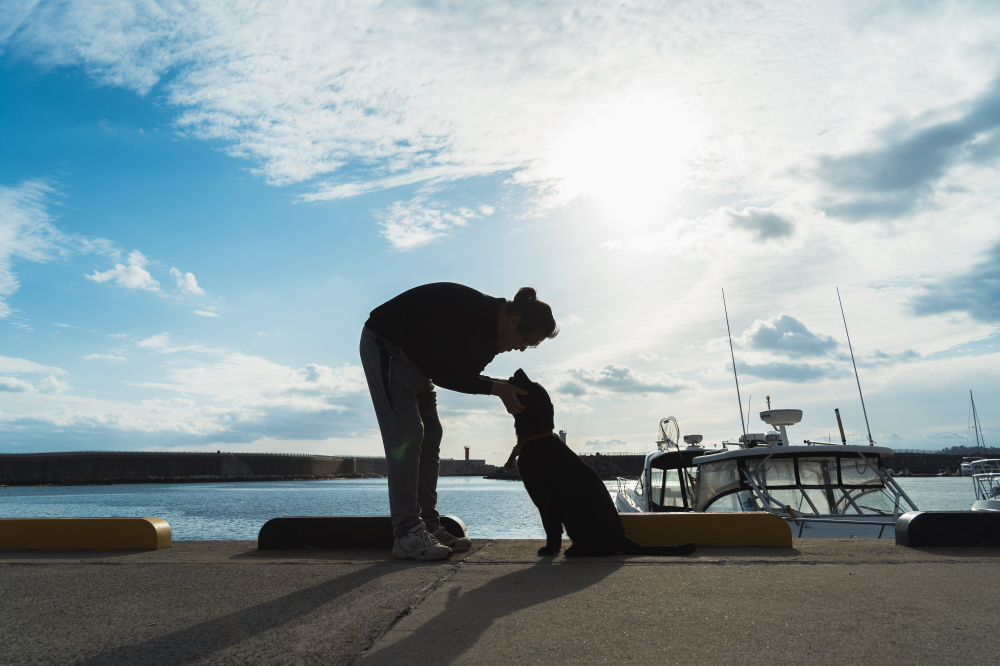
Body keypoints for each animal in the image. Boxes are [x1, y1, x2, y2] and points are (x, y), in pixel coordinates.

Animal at [508, 368, 696, 556]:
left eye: (533, 385)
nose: (519, 370)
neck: (537, 437)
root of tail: (622, 538)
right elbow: (555, 530)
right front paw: (552, 549)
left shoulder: (543, 498)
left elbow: (550, 528)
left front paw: (548, 550)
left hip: (573, 516)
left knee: (604, 549)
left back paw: (577, 551)